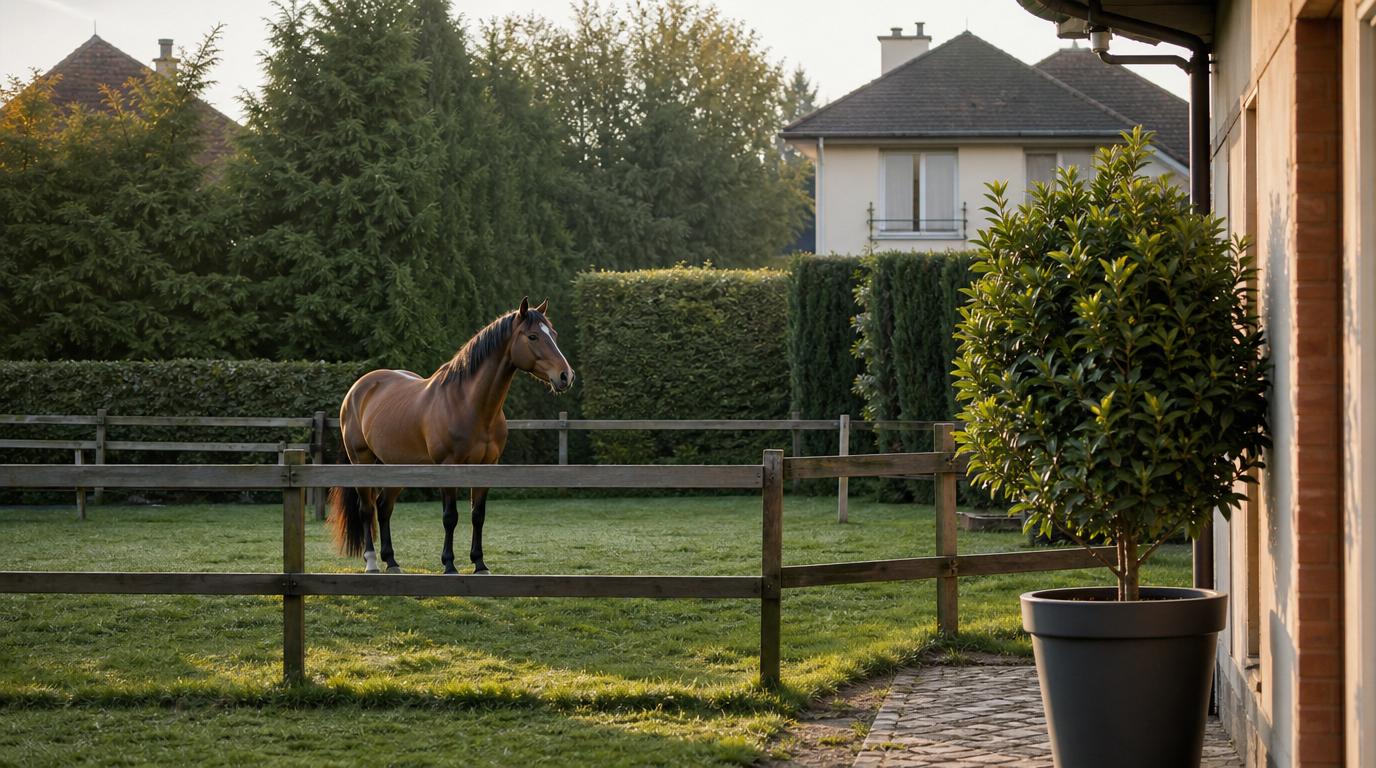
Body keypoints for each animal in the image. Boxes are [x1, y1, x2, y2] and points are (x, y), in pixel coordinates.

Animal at [328, 297, 574, 574]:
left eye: (553, 334)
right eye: (532, 336)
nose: (566, 375)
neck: (469, 404)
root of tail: (357, 390)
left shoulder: (487, 466)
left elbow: (478, 515)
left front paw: (480, 563)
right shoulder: (449, 466)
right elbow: (450, 517)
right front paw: (449, 564)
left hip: (396, 465)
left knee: (383, 508)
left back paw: (391, 561)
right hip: (362, 461)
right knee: (367, 509)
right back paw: (371, 562)